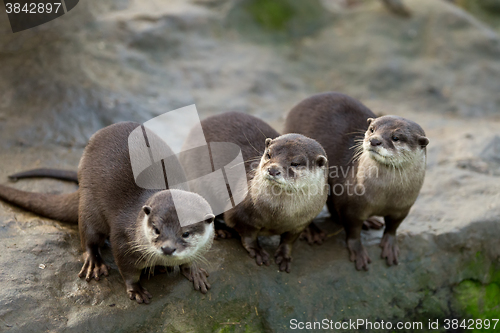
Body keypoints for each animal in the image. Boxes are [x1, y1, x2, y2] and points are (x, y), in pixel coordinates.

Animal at [0, 121, 214, 300]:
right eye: (156, 230)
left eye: (186, 233)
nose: (168, 248)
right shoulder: (122, 240)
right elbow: (128, 271)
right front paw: (136, 289)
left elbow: (190, 260)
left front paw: (194, 270)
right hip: (89, 205)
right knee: (88, 238)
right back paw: (94, 263)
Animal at [180, 111, 328, 272]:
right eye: (269, 154)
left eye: (295, 163)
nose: (273, 169)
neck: (279, 215)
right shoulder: (240, 213)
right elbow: (247, 234)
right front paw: (257, 251)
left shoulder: (301, 223)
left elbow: (289, 240)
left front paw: (284, 255)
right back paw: (220, 231)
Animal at [284, 91, 428, 270]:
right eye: (372, 129)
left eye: (396, 137)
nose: (374, 140)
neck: (386, 196)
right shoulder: (351, 205)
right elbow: (352, 230)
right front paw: (358, 252)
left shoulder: (404, 207)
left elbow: (393, 226)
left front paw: (390, 245)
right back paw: (313, 232)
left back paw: (369, 221)